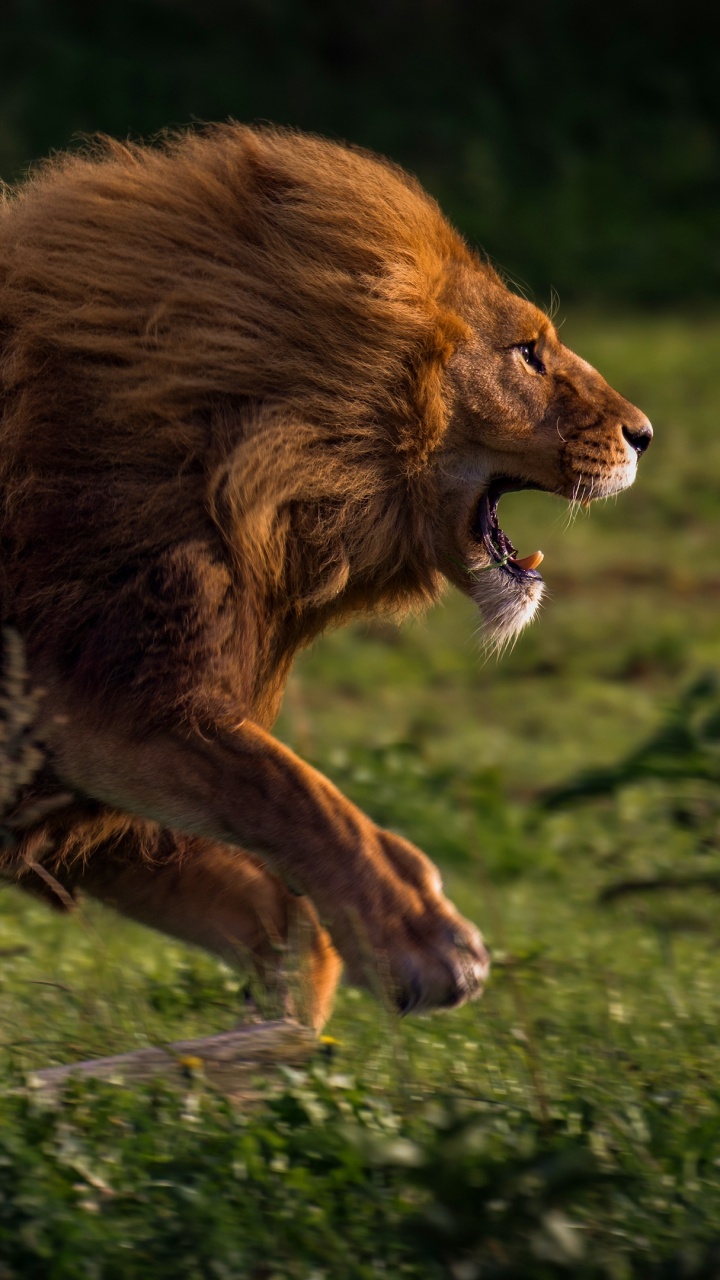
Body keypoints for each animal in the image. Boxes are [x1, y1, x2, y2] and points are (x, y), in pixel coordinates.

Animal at [0, 125, 651, 1029]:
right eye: (528, 351)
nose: (645, 433)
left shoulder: (68, 772)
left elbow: (256, 890)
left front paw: (284, 1020)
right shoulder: (106, 691)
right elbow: (288, 789)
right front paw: (422, 938)